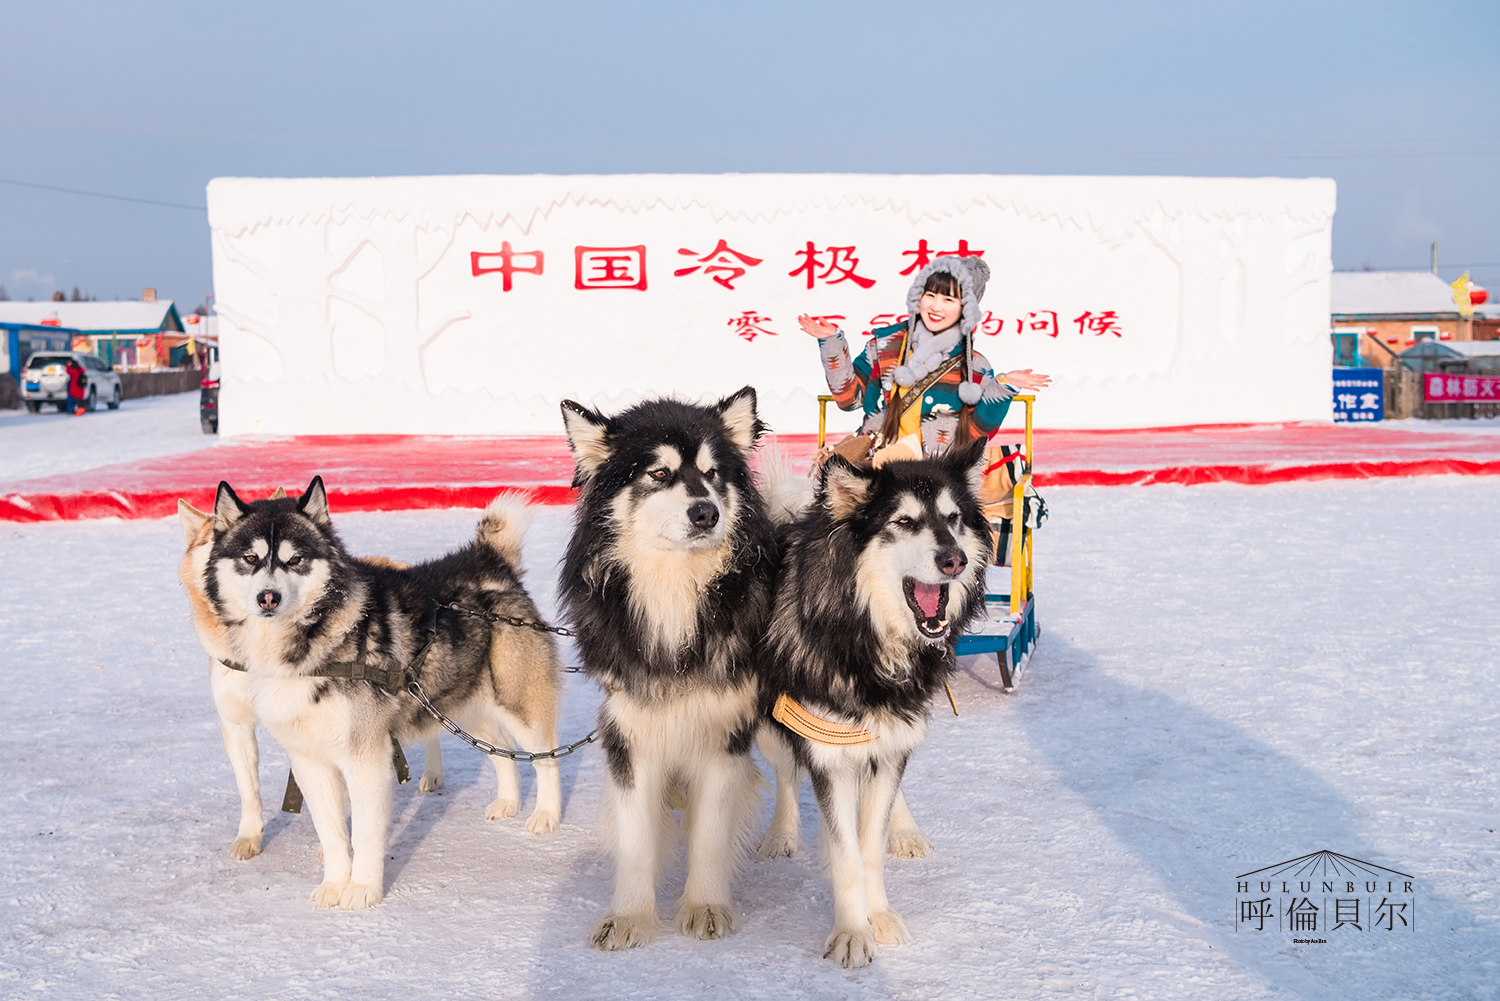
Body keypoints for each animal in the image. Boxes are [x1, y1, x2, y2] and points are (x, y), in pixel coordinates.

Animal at [175, 492, 444, 864]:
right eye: (246, 556)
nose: (267, 596)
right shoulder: (239, 723)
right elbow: (249, 788)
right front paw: (249, 837)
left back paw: (433, 773)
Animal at [202, 480, 564, 912]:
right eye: (250, 558)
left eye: (296, 560)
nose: (268, 598)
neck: (312, 642)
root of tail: (486, 560)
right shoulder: (309, 760)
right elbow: (332, 834)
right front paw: (333, 885)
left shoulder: (367, 757)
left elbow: (364, 833)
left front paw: (362, 890)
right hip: (465, 705)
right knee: (501, 751)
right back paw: (508, 802)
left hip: (518, 704)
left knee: (546, 758)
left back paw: (546, 815)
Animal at [558, 387, 780, 954]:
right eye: (658, 473)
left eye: (713, 473)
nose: (705, 513)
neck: (675, 587)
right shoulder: (630, 733)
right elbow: (638, 838)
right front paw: (630, 918)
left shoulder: (726, 731)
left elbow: (710, 835)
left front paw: (705, 907)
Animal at [756, 441, 990, 972]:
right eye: (904, 521)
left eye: (953, 518)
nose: (954, 559)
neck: (869, 636)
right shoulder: (827, 751)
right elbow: (846, 855)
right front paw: (850, 933)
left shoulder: (891, 739)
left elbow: (868, 848)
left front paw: (877, 917)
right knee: (785, 772)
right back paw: (781, 833)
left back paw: (904, 830)